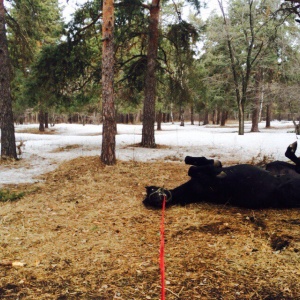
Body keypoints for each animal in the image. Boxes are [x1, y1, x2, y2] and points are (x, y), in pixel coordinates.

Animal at [142, 141, 300, 209]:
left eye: (151, 190)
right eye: (150, 200)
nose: (156, 198)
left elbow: (192, 161)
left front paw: (214, 163)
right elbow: (193, 169)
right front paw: (218, 171)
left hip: (276, 165)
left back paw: (291, 147)